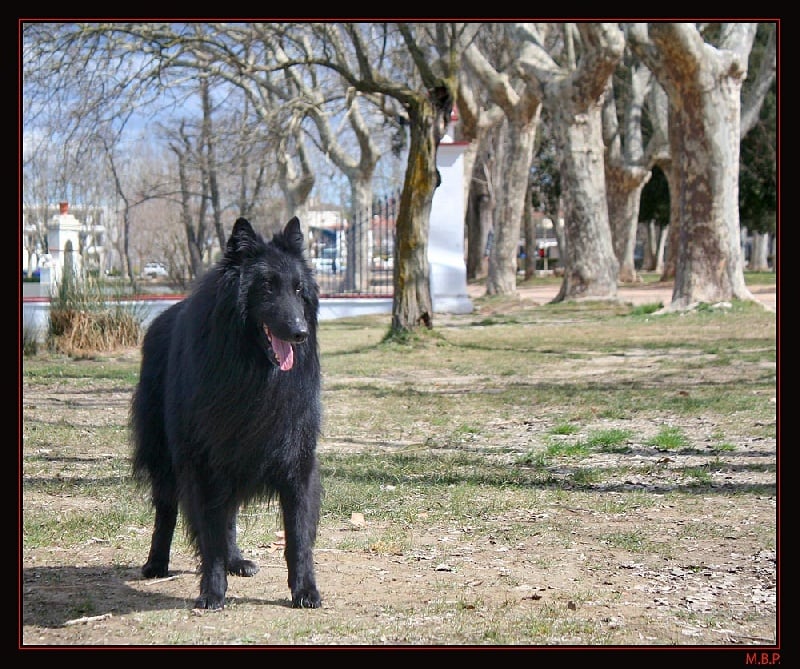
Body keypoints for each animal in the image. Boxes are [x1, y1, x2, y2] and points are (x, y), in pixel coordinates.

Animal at [130, 216, 322, 610]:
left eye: (298, 290)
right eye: (267, 287)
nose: (299, 332)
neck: (255, 375)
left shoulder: (297, 463)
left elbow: (297, 537)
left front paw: (305, 590)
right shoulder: (203, 465)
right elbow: (209, 536)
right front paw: (213, 592)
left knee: (228, 515)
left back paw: (237, 561)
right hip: (166, 458)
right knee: (167, 509)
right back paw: (156, 563)